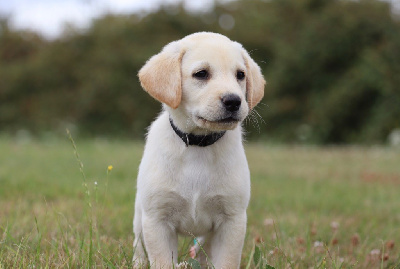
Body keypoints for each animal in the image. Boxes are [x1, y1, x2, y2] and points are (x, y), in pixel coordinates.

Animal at [134, 32, 266, 266]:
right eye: (201, 74)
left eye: (240, 75)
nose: (234, 101)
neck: (198, 144)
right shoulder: (157, 220)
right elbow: (162, 262)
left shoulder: (232, 220)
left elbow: (226, 262)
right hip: (139, 218)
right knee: (138, 248)